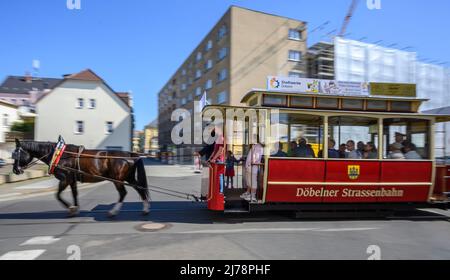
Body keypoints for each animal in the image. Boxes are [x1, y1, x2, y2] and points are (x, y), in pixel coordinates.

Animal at [11, 139, 149, 217]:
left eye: (16, 153)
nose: (15, 170)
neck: (59, 154)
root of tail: (129, 154)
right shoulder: (72, 180)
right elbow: (74, 194)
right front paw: (76, 209)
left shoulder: (65, 179)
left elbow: (58, 195)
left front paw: (71, 208)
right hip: (128, 178)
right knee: (140, 189)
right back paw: (145, 209)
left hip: (118, 180)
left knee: (123, 193)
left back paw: (113, 212)